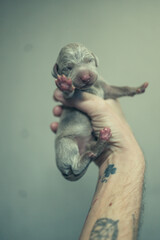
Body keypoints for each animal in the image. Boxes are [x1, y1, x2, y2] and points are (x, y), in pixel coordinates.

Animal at [52, 42, 148, 180]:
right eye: (68, 67)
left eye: (89, 60)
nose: (86, 77)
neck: (91, 87)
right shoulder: (67, 97)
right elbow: (69, 93)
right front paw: (66, 85)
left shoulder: (106, 88)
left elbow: (120, 89)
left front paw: (138, 88)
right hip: (65, 144)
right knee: (75, 166)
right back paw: (89, 153)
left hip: (90, 142)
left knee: (93, 152)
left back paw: (101, 142)